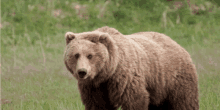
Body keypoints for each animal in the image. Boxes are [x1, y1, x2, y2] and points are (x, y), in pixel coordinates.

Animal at [63, 26, 199, 109]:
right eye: (76, 55)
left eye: (90, 55)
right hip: (158, 87)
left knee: (184, 102)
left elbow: (134, 100)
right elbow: (98, 104)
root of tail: (177, 44)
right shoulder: (94, 87)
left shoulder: (125, 78)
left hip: (175, 79)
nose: (82, 72)